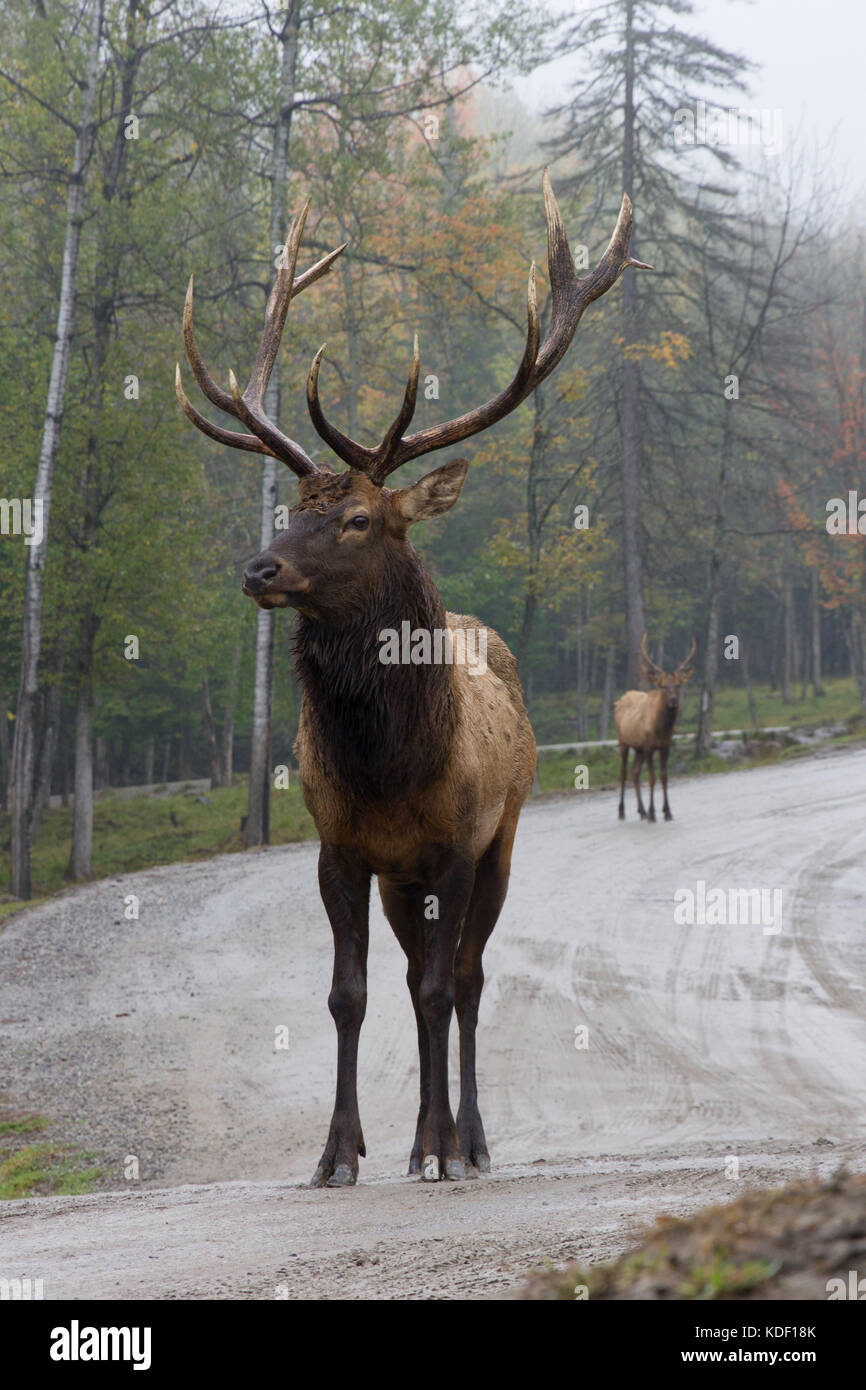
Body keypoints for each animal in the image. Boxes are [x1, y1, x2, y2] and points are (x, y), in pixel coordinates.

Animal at [176, 174, 650, 1187]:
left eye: (359, 519)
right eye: (290, 507)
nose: (259, 569)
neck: (388, 767)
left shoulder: (457, 848)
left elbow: (442, 988)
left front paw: (440, 1144)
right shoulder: (341, 849)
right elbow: (349, 995)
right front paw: (338, 1154)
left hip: (500, 844)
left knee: (465, 982)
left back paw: (464, 1139)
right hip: (402, 884)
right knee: (408, 977)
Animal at [614, 635, 696, 823]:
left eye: (678, 685)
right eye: (663, 686)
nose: (673, 701)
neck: (661, 728)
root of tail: (619, 700)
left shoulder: (664, 746)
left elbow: (664, 777)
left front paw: (667, 812)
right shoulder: (649, 747)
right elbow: (651, 778)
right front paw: (653, 813)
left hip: (638, 749)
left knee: (635, 772)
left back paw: (641, 811)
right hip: (623, 741)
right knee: (623, 772)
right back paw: (622, 811)